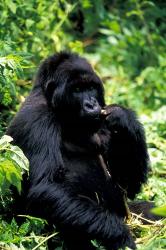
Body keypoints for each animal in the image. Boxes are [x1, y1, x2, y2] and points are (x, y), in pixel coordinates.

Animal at [7, 51, 148, 249]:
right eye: (78, 89)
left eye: (91, 87)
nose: (92, 104)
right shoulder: (36, 120)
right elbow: (46, 187)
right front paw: (121, 236)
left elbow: (127, 184)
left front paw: (124, 118)